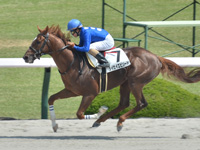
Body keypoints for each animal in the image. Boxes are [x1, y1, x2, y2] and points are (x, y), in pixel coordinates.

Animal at [23, 25, 200, 131]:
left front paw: (99, 112)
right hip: (125, 83)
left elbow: (80, 114)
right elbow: (51, 99)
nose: (26, 57)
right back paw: (103, 121)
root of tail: (156, 57)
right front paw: (54, 125)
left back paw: (118, 121)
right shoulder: (72, 91)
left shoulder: (90, 93)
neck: (72, 62)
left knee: (141, 103)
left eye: (39, 41)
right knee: (124, 103)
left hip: (136, 82)